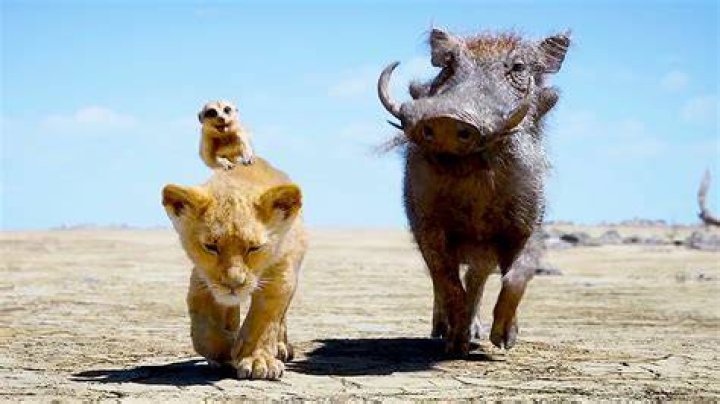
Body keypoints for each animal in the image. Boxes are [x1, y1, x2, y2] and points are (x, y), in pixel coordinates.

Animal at [162, 158, 307, 379]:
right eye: (211, 247)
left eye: (254, 248)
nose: (233, 283)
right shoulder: (202, 282)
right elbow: (205, 333)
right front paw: (229, 350)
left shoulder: (280, 274)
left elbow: (263, 323)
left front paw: (257, 361)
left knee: (281, 318)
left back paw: (281, 346)